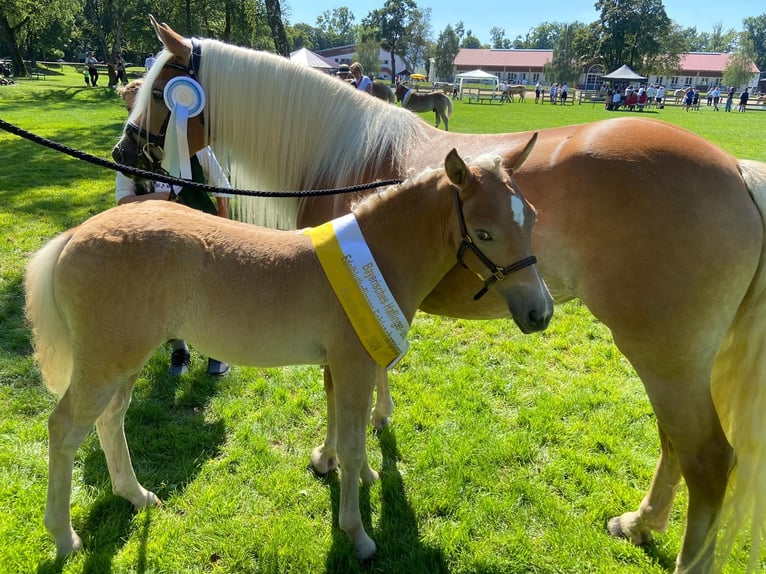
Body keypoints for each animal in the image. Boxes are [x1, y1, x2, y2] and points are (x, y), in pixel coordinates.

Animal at [25, 144, 552, 564]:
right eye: (483, 233)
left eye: (530, 216)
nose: (540, 312)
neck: (375, 259)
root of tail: (74, 236)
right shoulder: (355, 365)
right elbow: (354, 440)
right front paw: (358, 535)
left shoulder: (344, 366)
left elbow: (342, 427)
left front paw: (340, 468)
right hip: (105, 363)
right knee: (65, 429)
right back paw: (65, 538)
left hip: (124, 363)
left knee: (110, 420)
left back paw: (135, 495)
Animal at [109, 15, 766, 572]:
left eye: (161, 89)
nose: (122, 155)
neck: (346, 153)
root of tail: (736, 171)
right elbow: (372, 381)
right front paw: (374, 438)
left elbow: (334, 395)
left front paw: (333, 461)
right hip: (671, 360)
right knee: (675, 444)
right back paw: (640, 523)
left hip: (666, 356)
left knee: (709, 460)